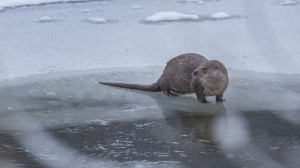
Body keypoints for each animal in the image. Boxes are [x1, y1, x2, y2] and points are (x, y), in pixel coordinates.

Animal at [98, 52, 227, 102]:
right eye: (199, 66)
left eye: (204, 68)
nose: (194, 72)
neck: (214, 87)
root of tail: (161, 76)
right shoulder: (197, 85)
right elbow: (200, 95)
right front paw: (204, 102)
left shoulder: (223, 87)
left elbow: (220, 95)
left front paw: (221, 100)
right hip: (167, 80)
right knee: (164, 88)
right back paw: (171, 94)